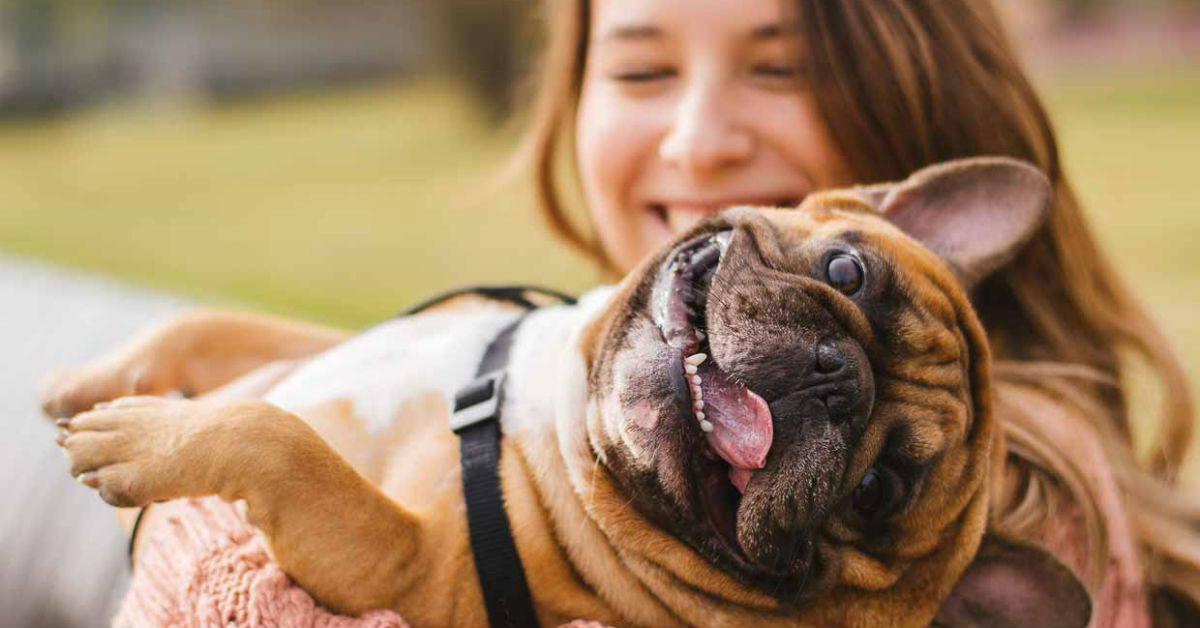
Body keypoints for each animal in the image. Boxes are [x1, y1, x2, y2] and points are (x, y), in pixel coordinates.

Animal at [49, 156, 1089, 624]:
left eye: (875, 493)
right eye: (847, 272)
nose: (836, 378)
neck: (548, 408)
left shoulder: (404, 570)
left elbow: (283, 442)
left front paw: (140, 439)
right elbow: (214, 329)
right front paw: (88, 383)